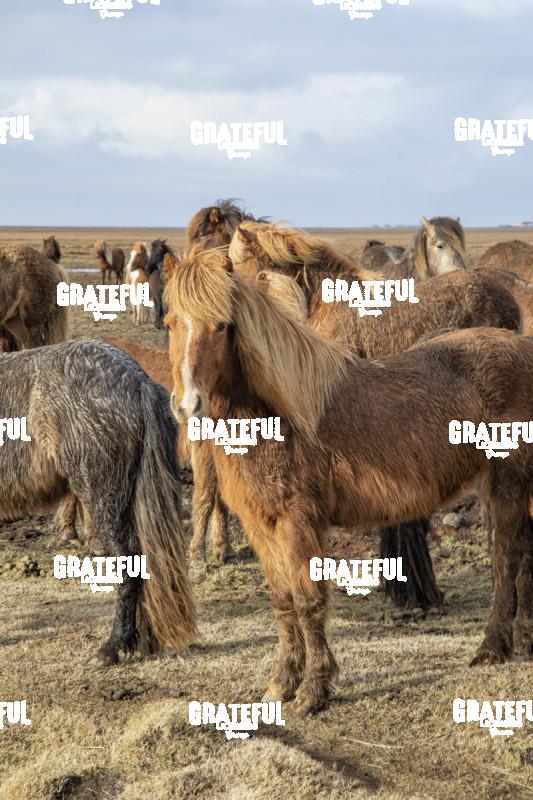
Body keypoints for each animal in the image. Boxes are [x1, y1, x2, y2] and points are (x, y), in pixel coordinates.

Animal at [165, 247, 533, 714]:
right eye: (170, 323)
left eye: (221, 325)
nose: (187, 405)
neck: (279, 415)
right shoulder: (261, 527)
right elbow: (282, 602)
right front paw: (280, 684)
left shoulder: (298, 524)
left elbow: (308, 600)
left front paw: (313, 690)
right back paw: (524, 642)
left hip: (508, 483)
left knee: (508, 559)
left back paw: (491, 648)